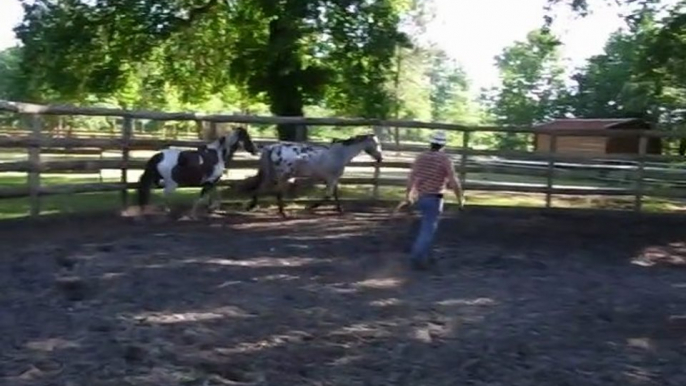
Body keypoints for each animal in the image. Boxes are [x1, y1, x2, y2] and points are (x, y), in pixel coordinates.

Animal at [243, 133, 384, 217]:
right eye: (377, 144)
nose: (380, 158)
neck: (340, 154)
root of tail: (271, 147)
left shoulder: (333, 179)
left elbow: (335, 195)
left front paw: (340, 209)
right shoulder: (331, 179)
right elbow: (328, 196)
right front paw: (309, 207)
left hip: (274, 174)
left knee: (261, 187)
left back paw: (252, 206)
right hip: (283, 174)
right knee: (277, 192)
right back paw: (282, 213)